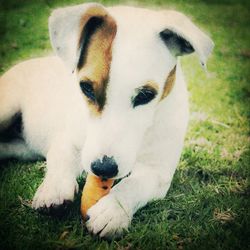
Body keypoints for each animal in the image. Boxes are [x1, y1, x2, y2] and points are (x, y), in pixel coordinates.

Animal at [0, 2, 213, 237]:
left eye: (146, 95)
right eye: (86, 88)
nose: (103, 169)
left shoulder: (157, 171)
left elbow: (133, 185)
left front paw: (112, 209)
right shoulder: (66, 140)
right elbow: (61, 159)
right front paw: (54, 188)